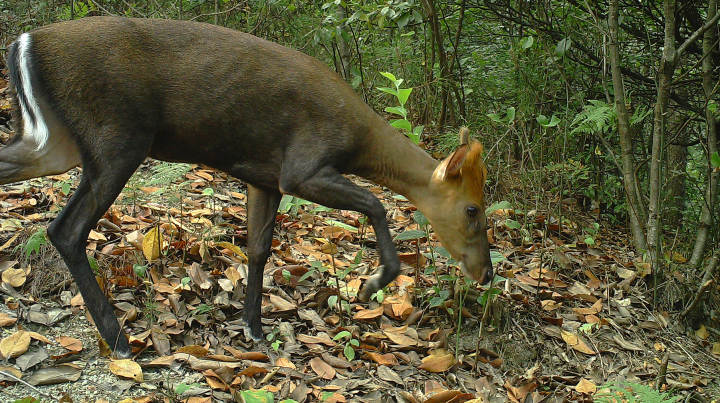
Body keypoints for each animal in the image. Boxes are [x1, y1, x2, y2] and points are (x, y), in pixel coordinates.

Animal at [1, 16, 496, 360]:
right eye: (473, 209)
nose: (487, 274)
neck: (360, 139)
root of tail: (25, 43)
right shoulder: (301, 167)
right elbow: (375, 203)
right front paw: (371, 284)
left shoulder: (264, 178)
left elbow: (258, 249)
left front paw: (253, 327)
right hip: (117, 138)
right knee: (66, 230)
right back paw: (119, 338)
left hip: (58, 143)